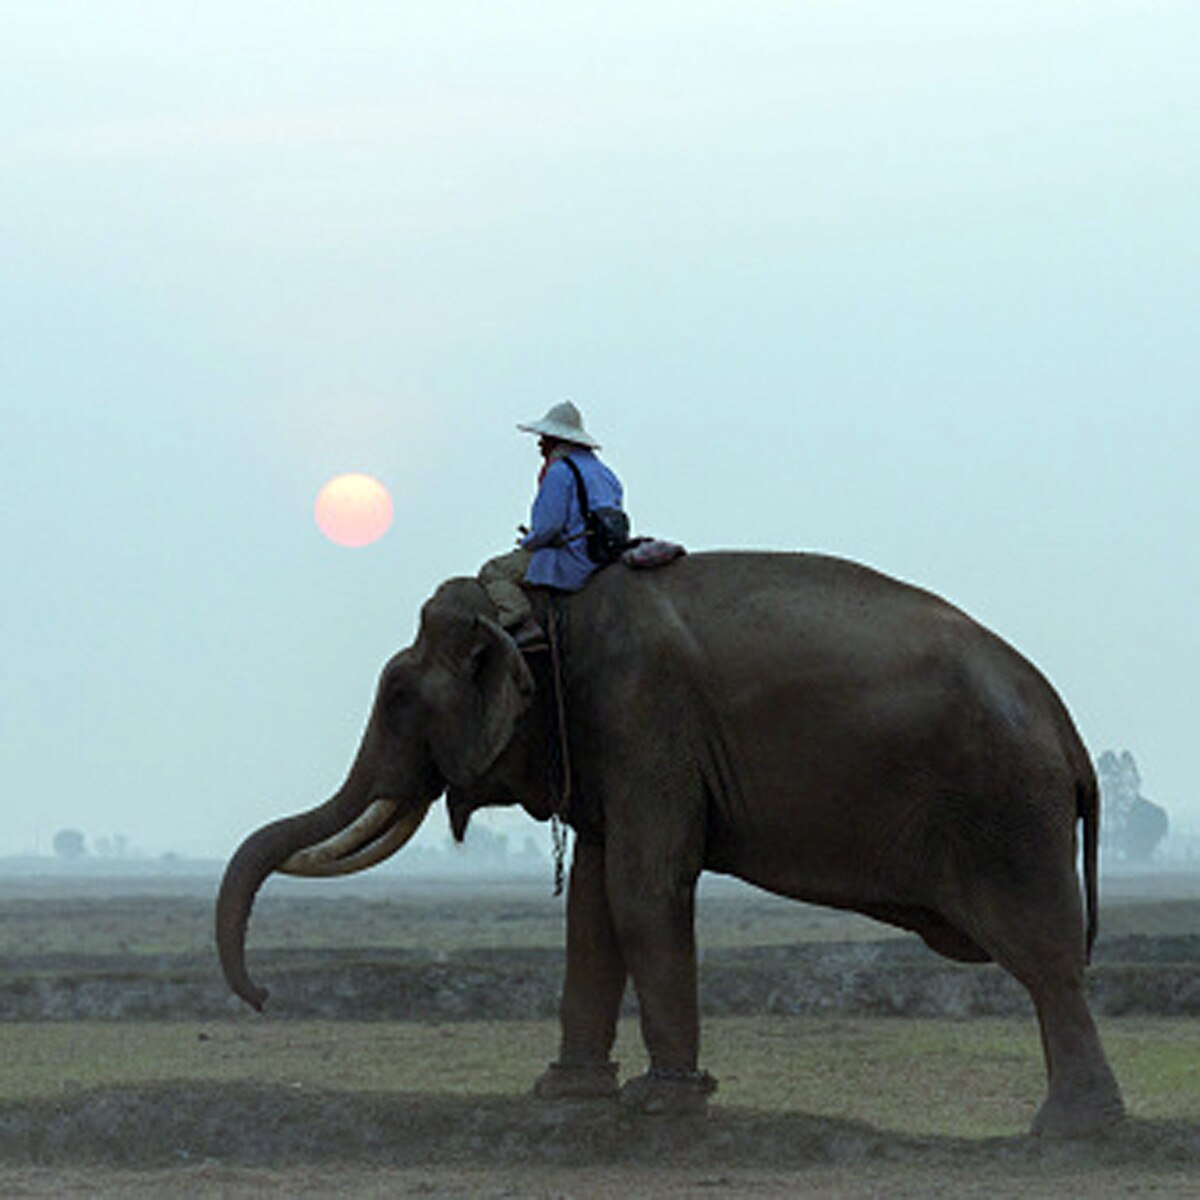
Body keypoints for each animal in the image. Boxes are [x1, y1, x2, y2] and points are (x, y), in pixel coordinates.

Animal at [216, 551, 1125, 1136]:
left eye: (400, 695)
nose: (262, 998)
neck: (547, 607)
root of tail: (1070, 731)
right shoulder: (607, 742)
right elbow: (591, 902)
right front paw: (564, 1094)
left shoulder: (642, 716)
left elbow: (642, 885)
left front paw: (663, 1104)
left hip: (1007, 810)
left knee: (1044, 958)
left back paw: (1070, 1133)